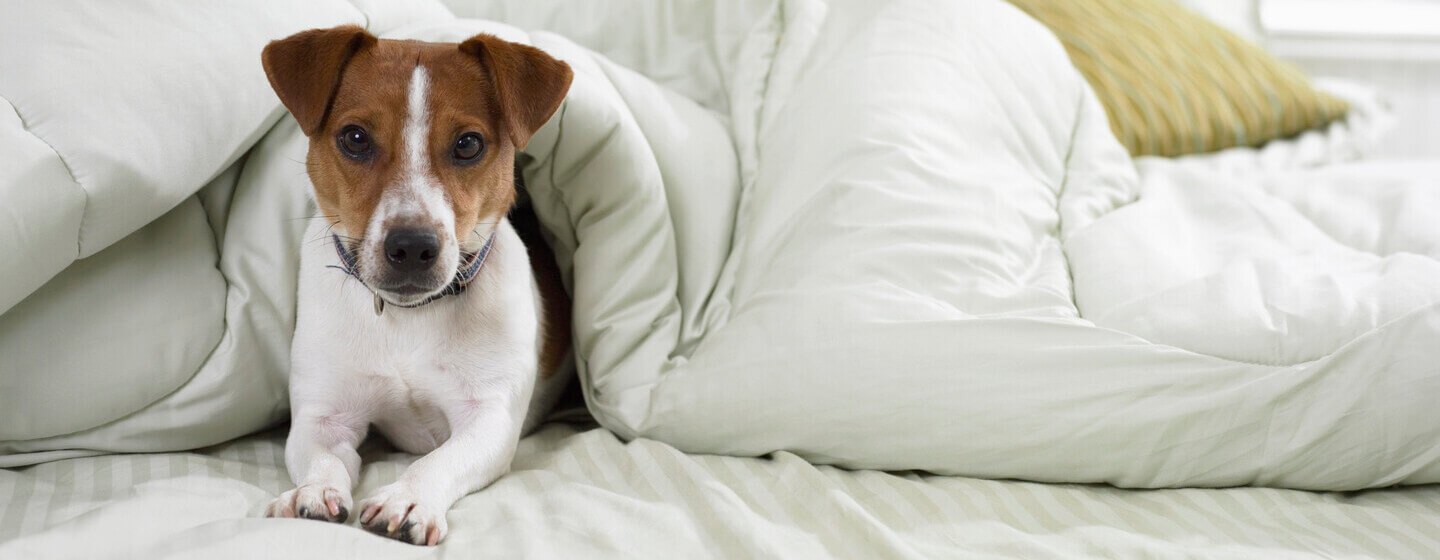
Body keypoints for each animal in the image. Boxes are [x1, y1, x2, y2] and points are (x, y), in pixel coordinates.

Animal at [259, 27, 573, 544]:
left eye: (468, 144)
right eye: (355, 138)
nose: (411, 246)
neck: (408, 318)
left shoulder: (489, 416)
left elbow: (439, 459)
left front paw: (406, 498)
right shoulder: (323, 415)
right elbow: (322, 456)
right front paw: (312, 490)